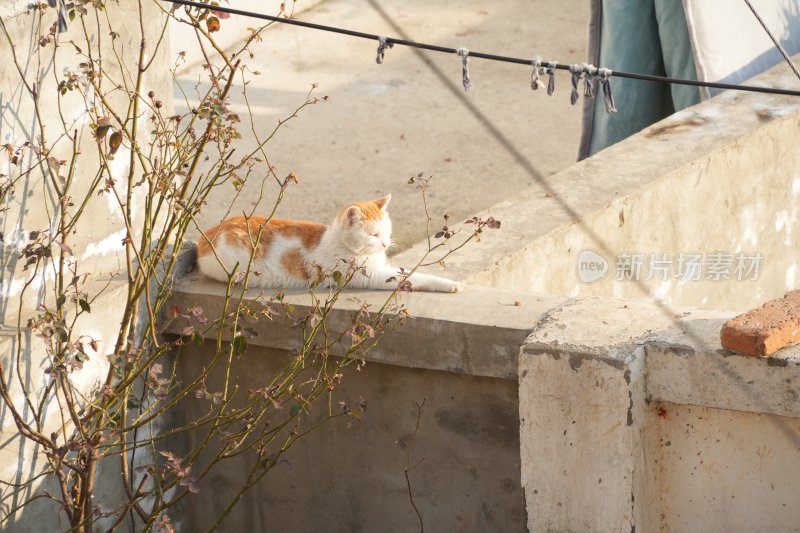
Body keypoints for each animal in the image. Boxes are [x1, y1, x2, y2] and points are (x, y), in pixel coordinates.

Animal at [195, 195, 462, 294]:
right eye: (373, 235)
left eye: (386, 231)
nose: (385, 244)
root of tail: (206, 235)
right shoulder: (372, 275)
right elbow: (415, 277)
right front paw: (450, 284)